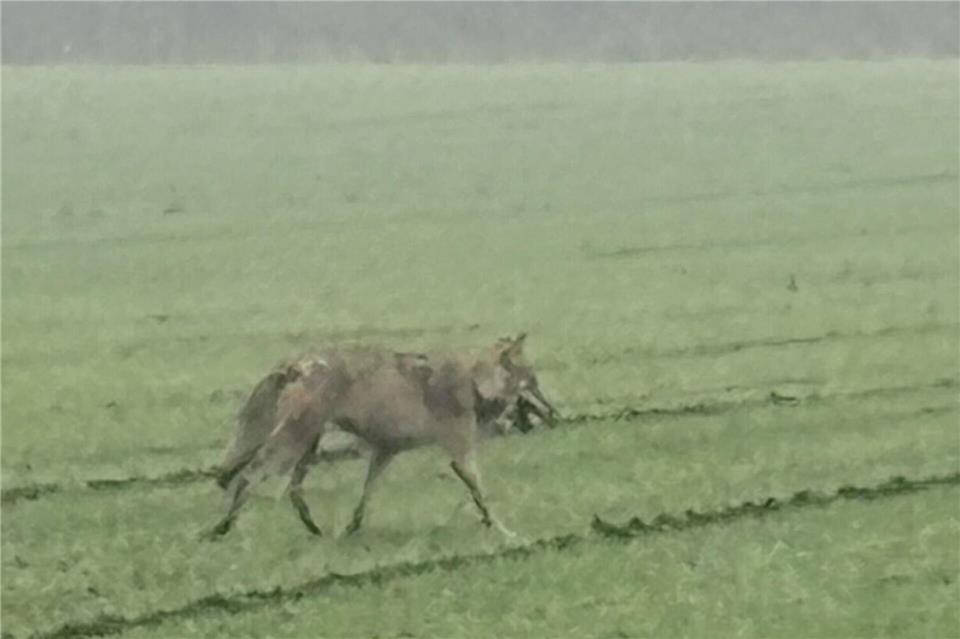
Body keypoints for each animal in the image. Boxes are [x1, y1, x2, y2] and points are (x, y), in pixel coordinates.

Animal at [206, 334, 558, 539]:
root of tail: (295, 362)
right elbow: (482, 495)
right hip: (292, 445)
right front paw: (503, 530)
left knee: (293, 491)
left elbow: (365, 496)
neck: (475, 381)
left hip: (307, 445)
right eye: (532, 379)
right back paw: (221, 528)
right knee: (249, 477)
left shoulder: (385, 452)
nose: (556, 412)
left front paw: (352, 529)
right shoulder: (460, 454)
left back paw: (315, 530)